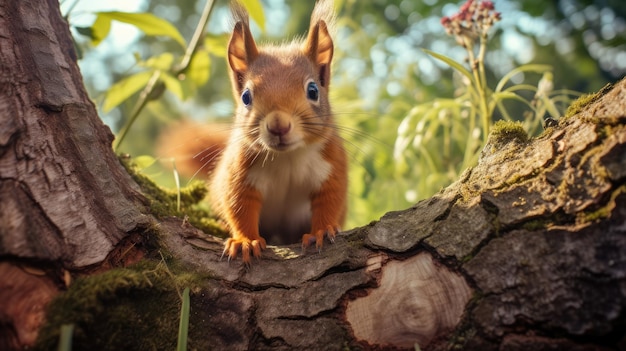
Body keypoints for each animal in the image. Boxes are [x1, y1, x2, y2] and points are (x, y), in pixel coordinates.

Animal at [160, 0, 346, 264]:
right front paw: (245, 241)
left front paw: (321, 231)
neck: (287, 157)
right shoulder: (239, 172)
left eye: (313, 90)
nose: (279, 126)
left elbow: (330, 200)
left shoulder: (331, 166)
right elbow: (240, 206)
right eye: (246, 97)